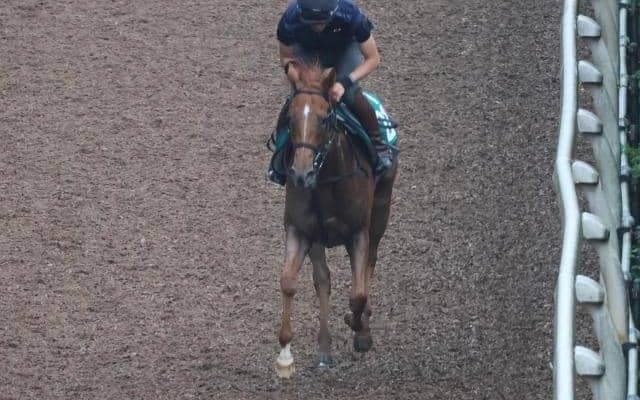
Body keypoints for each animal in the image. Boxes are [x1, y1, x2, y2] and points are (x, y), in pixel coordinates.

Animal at [274, 61, 398, 378]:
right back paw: (324, 350)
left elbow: (358, 294)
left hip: (381, 209)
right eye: (290, 117)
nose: (300, 174)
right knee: (323, 280)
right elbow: (291, 281)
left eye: (324, 118)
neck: (327, 179)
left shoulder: (358, 232)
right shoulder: (302, 230)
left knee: (370, 263)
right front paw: (285, 356)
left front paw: (359, 327)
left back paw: (362, 326)